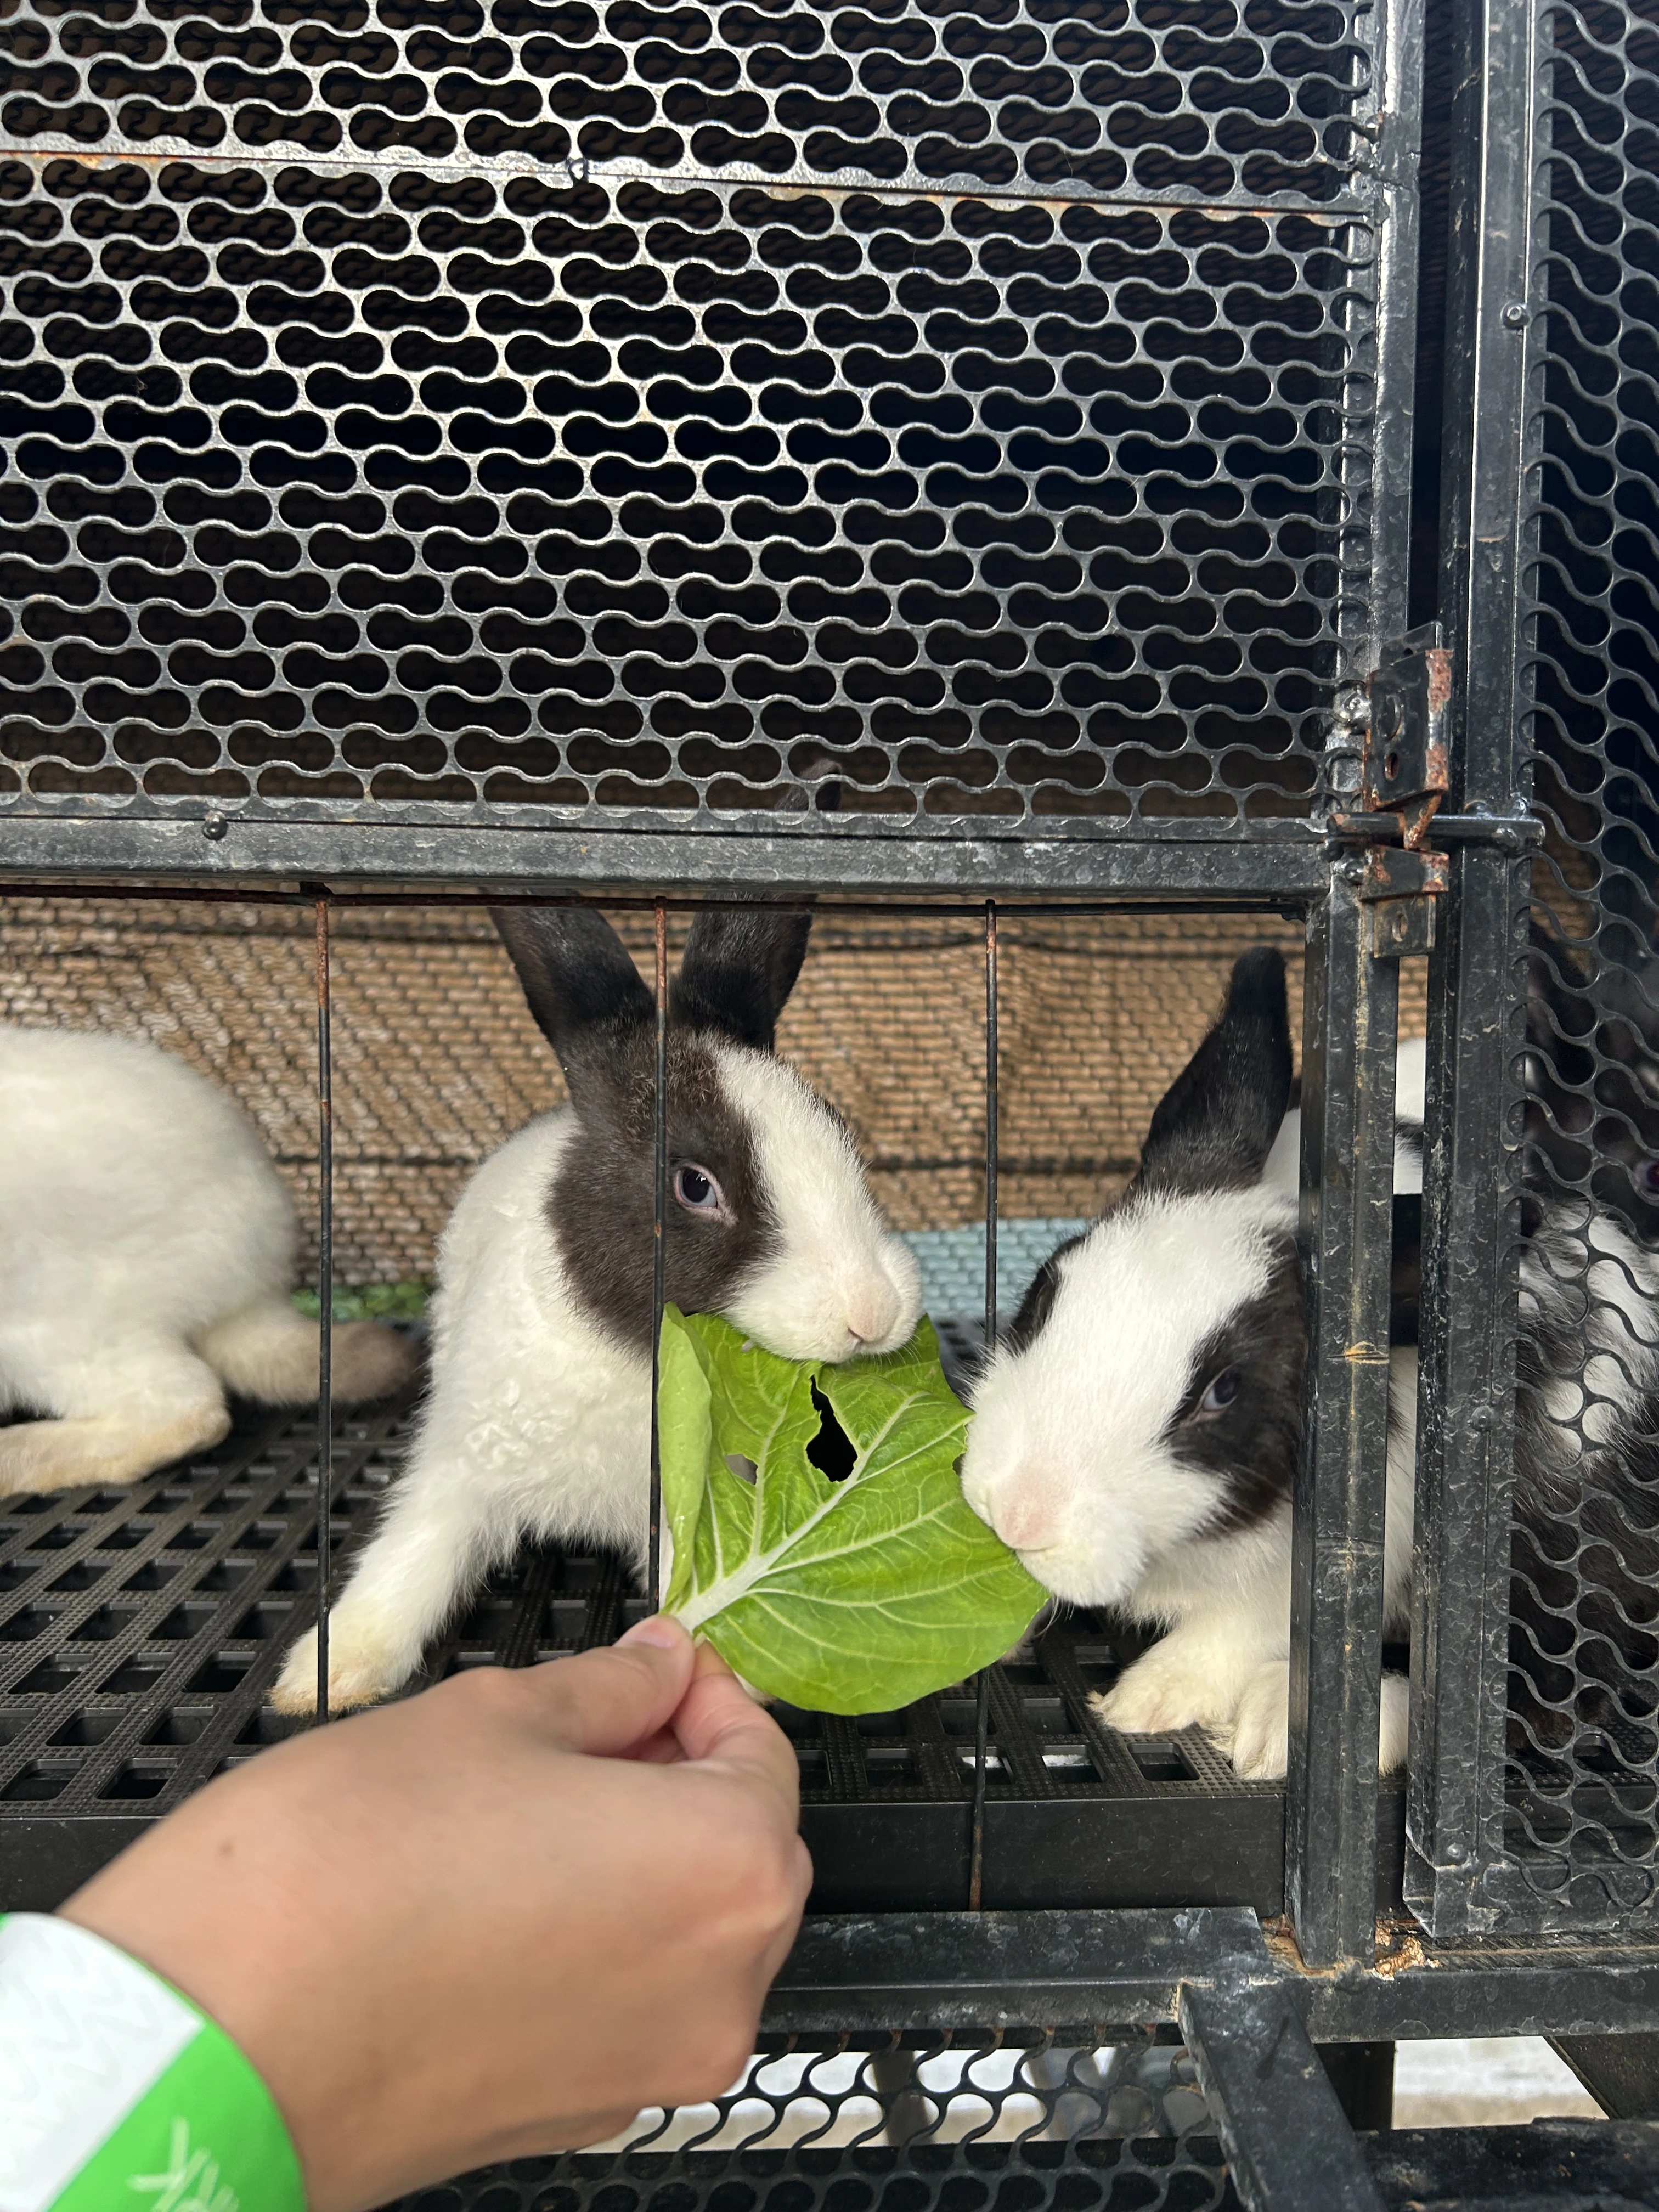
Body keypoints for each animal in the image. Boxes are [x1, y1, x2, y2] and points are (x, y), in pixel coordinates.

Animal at [273, 903, 924, 1715]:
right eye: (695, 1185)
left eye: (843, 1139)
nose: (872, 1312)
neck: (633, 1359)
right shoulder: (462, 1464)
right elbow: (410, 1561)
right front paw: (323, 1679)